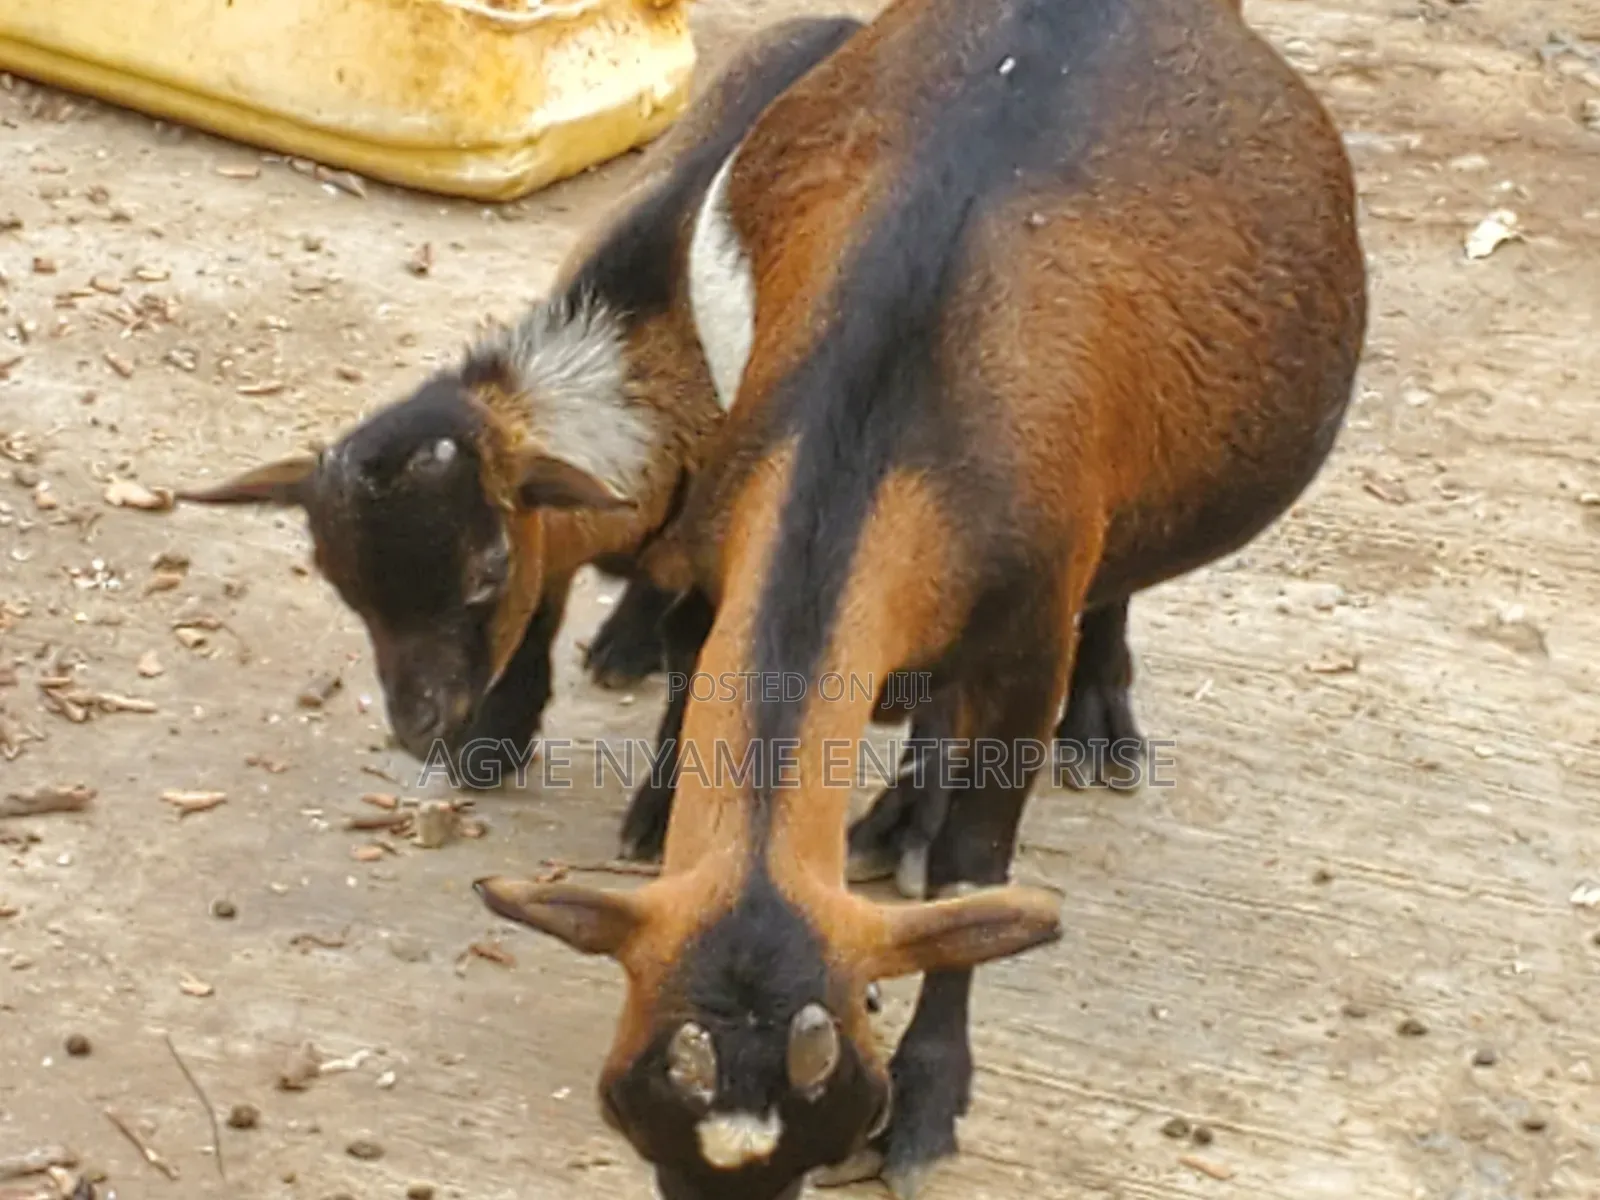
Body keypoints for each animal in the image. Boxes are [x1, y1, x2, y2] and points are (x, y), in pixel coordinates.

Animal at [172, 14, 865, 778]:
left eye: (487, 571)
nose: (418, 730)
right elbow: (540, 615)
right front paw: (496, 741)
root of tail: (845, 22)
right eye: (343, 587)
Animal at [473, 0, 1367, 1196]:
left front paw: (933, 1095)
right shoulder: (729, 536)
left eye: (843, 1114)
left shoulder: (1029, 630)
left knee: (1117, 578)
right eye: (631, 1110)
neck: (890, 398)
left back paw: (1098, 725)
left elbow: (971, 872)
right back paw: (900, 801)